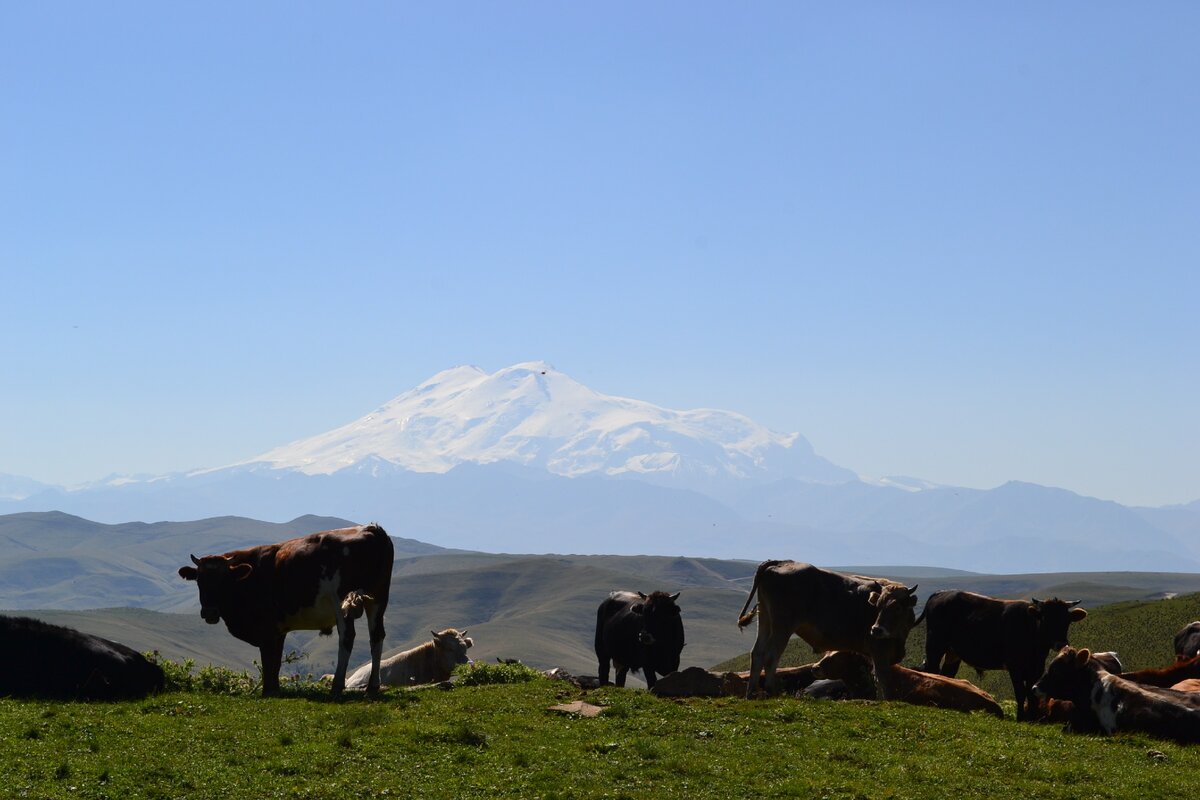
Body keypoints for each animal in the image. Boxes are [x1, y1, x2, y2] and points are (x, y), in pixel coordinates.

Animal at [177, 525, 393, 695]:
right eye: (200, 580)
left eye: (223, 582)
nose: (210, 612)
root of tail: (371, 528)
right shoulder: (278, 629)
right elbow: (276, 660)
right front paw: (275, 689)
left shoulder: (266, 627)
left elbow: (268, 658)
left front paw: (268, 691)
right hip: (378, 600)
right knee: (377, 636)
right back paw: (372, 686)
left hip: (344, 602)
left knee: (347, 637)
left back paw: (337, 685)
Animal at [729, 561, 916, 695]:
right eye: (878, 605)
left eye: (897, 607)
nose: (876, 630)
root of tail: (781, 562)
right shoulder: (879, 651)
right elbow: (883, 682)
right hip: (782, 626)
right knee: (771, 656)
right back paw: (770, 690)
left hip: (765, 620)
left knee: (757, 653)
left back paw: (752, 692)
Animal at [916, 587, 1089, 724]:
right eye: (1046, 618)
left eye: (1067, 620)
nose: (1061, 643)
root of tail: (941, 592)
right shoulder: (1015, 667)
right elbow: (1020, 692)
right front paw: (1021, 717)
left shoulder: (1036, 667)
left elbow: (1031, 693)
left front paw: (1032, 718)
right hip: (935, 645)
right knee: (931, 669)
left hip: (953, 653)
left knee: (947, 674)